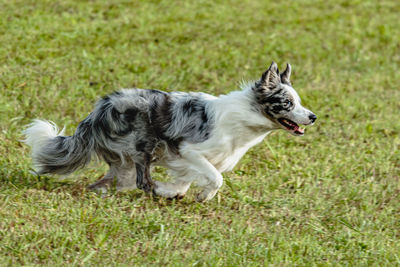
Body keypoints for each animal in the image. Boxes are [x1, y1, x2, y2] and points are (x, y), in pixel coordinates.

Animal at [23, 62, 318, 201]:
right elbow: (216, 178)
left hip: (125, 162)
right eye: (288, 103)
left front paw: (174, 191)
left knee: (109, 182)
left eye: (299, 101)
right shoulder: (189, 150)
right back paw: (153, 191)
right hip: (144, 145)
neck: (246, 116)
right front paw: (198, 195)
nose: (313, 116)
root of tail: (98, 110)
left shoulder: (189, 160)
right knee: (141, 181)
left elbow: (189, 180)